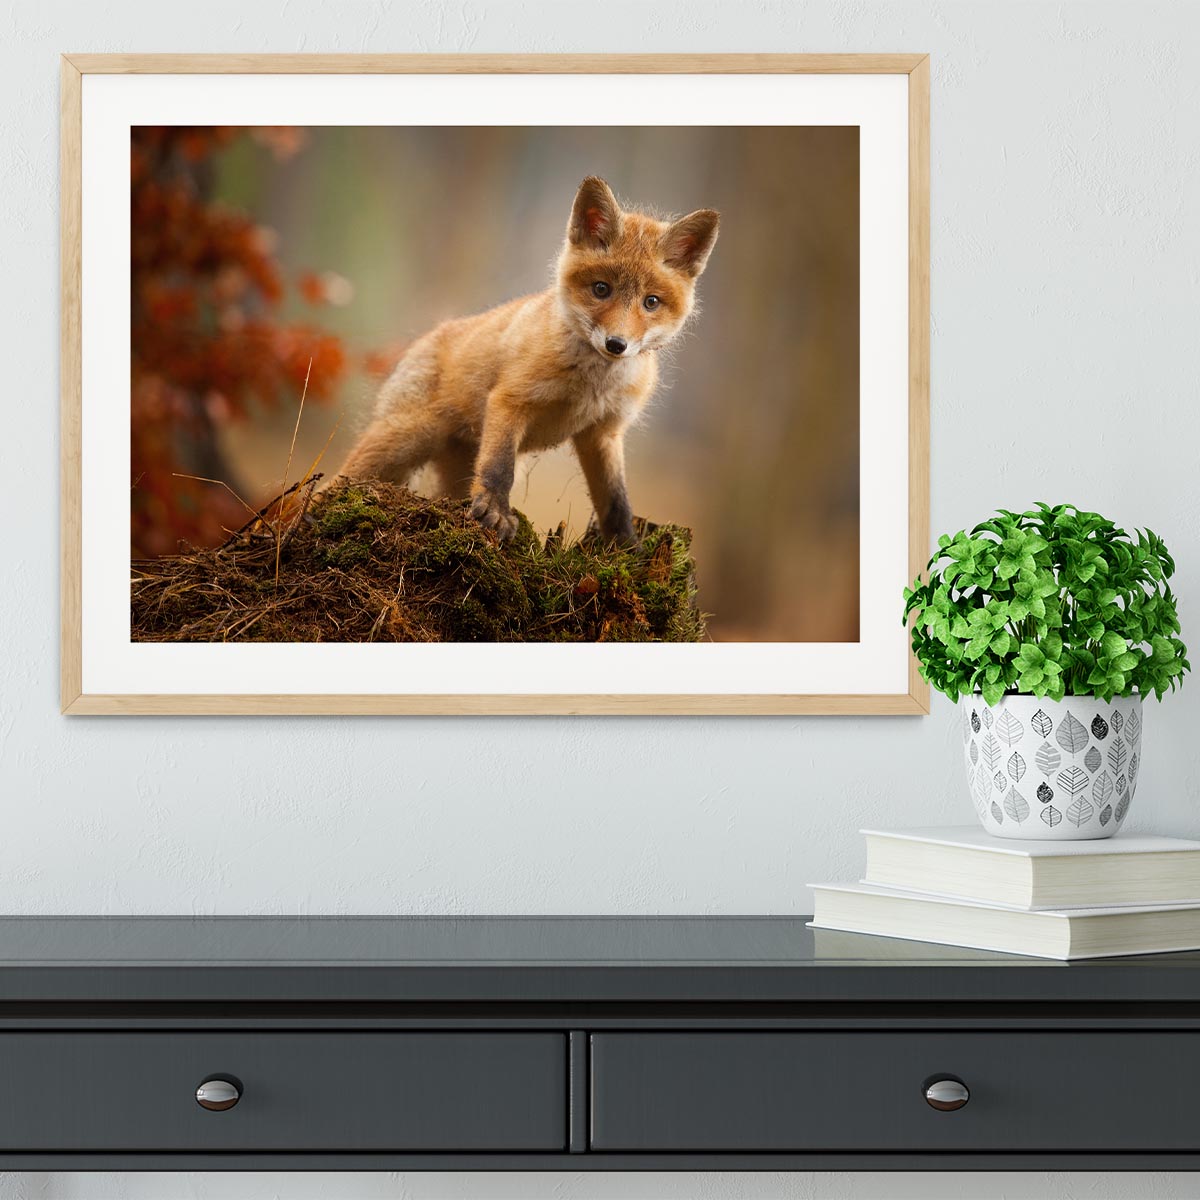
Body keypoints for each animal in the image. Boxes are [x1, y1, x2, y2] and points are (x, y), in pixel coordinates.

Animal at [334, 176, 719, 545]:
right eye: (601, 289)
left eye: (651, 302)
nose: (616, 344)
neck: (591, 385)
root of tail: (427, 336)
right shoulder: (511, 400)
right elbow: (500, 468)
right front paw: (495, 512)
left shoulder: (603, 433)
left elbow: (616, 501)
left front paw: (627, 549)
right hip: (402, 440)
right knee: (337, 482)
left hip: (453, 467)